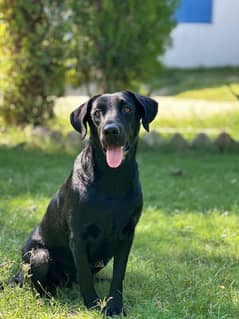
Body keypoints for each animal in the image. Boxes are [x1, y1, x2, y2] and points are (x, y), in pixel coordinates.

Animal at [19, 91, 157, 316]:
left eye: (127, 109)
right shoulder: (78, 237)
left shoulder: (127, 235)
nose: (111, 130)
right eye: (97, 113)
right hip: (39, 256)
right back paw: (48, 299)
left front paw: (114, 305)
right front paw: (93, 304)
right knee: (40, 286)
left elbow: (119, 275)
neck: (112, 179)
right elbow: (84, 274)